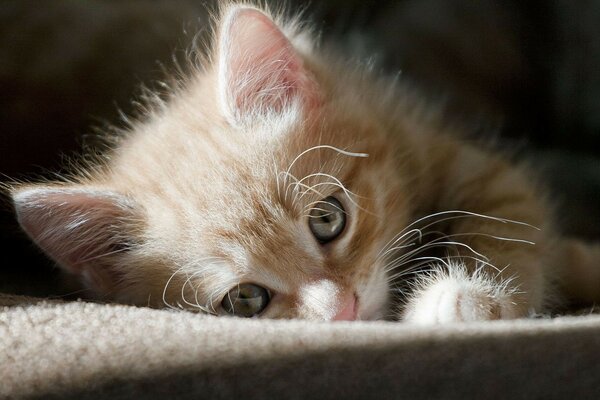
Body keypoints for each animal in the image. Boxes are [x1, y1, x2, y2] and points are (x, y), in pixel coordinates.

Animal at [5, 2, 600, 322]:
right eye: (246, 298)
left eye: (327, 218)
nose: (343, 309)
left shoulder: (447, 151)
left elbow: (508, 218)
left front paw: (468, 294)